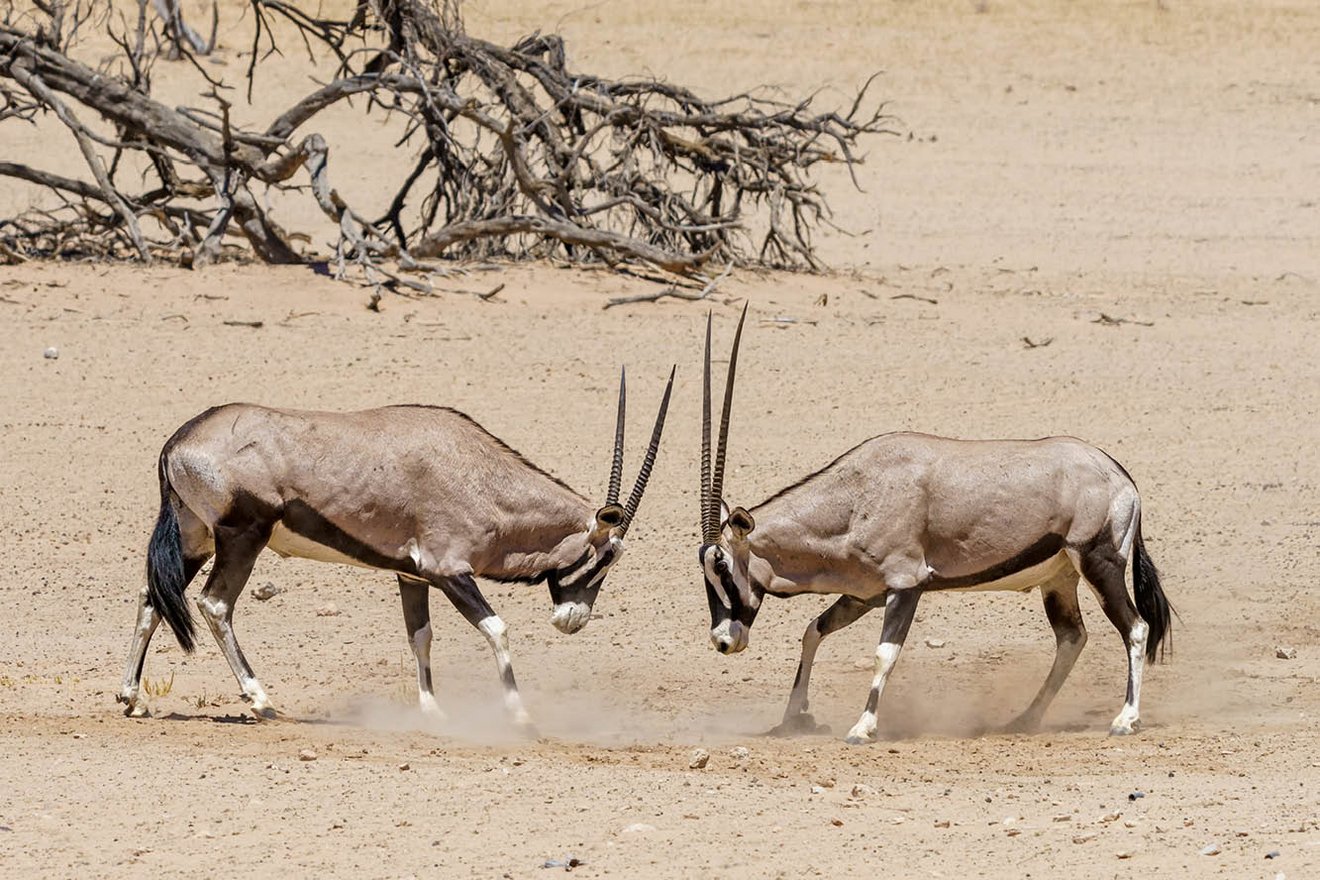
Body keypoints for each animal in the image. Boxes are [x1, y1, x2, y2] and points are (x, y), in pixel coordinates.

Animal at [118, 364, 675, 728]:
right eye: (606, 558)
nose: (572, 620)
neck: (482, 478)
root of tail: (179, 440)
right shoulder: (450, 570)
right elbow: (496, 629)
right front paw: (518, 714)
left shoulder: (413, 574)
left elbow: (420, 636)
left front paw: (432, 710)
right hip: (241, 538)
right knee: (215, 604)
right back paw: (260, 700)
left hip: (195, 537)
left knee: (153, 597)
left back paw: (131, 698)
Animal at [696, 310, 1172, 744]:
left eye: (721, 566)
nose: (722, 641)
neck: (855, 498)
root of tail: (1120, 475)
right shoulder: (865, 593)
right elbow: (814, 631)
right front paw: (793, 719)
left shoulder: (906, 585)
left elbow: (884, 654)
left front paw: (862, 727)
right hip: (1058, 579)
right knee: (1072, 637)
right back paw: (1025, 719)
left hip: (1099, 563)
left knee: (1135, 628)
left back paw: (1125, 719)